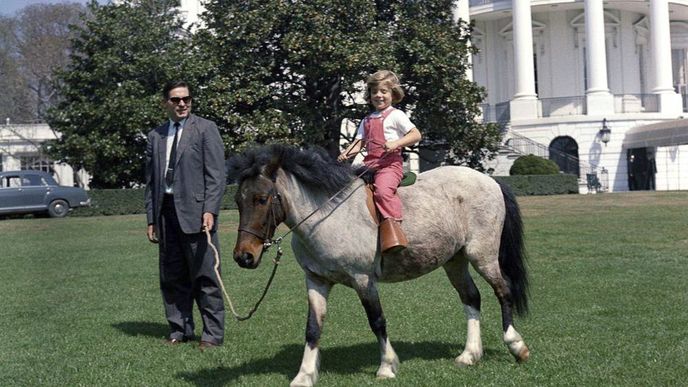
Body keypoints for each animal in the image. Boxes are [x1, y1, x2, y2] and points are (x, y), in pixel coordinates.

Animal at [228, 146, 528, 387]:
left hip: (482, 256)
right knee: (471, 298)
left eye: (262, 199)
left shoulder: (363, 280)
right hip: (455, 261)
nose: (244, 257)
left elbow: (377, 321)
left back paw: (516, 345)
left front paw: (386, 366)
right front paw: (304, 375)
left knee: (503, 291)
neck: (327, 215)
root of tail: (490, 180)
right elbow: (313, 327)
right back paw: (469, 354)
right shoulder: (316, 280)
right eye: (238, 201)